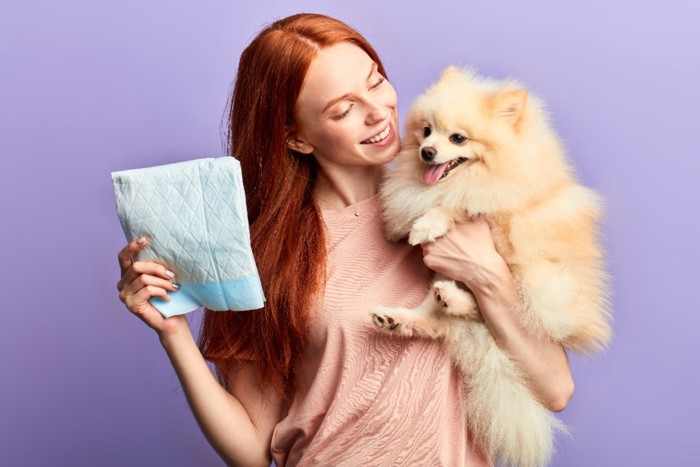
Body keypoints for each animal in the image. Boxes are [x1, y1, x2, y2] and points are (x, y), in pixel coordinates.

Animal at [372, 66, 612, 467]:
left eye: (457, 138)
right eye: (426, 130)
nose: (426, 151)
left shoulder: (498, 209)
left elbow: (458, 204)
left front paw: (427, 224)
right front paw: (408, 224)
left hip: (537, 283)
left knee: (489, 309)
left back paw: (454, 300)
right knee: (437, 320)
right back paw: (400, 317)